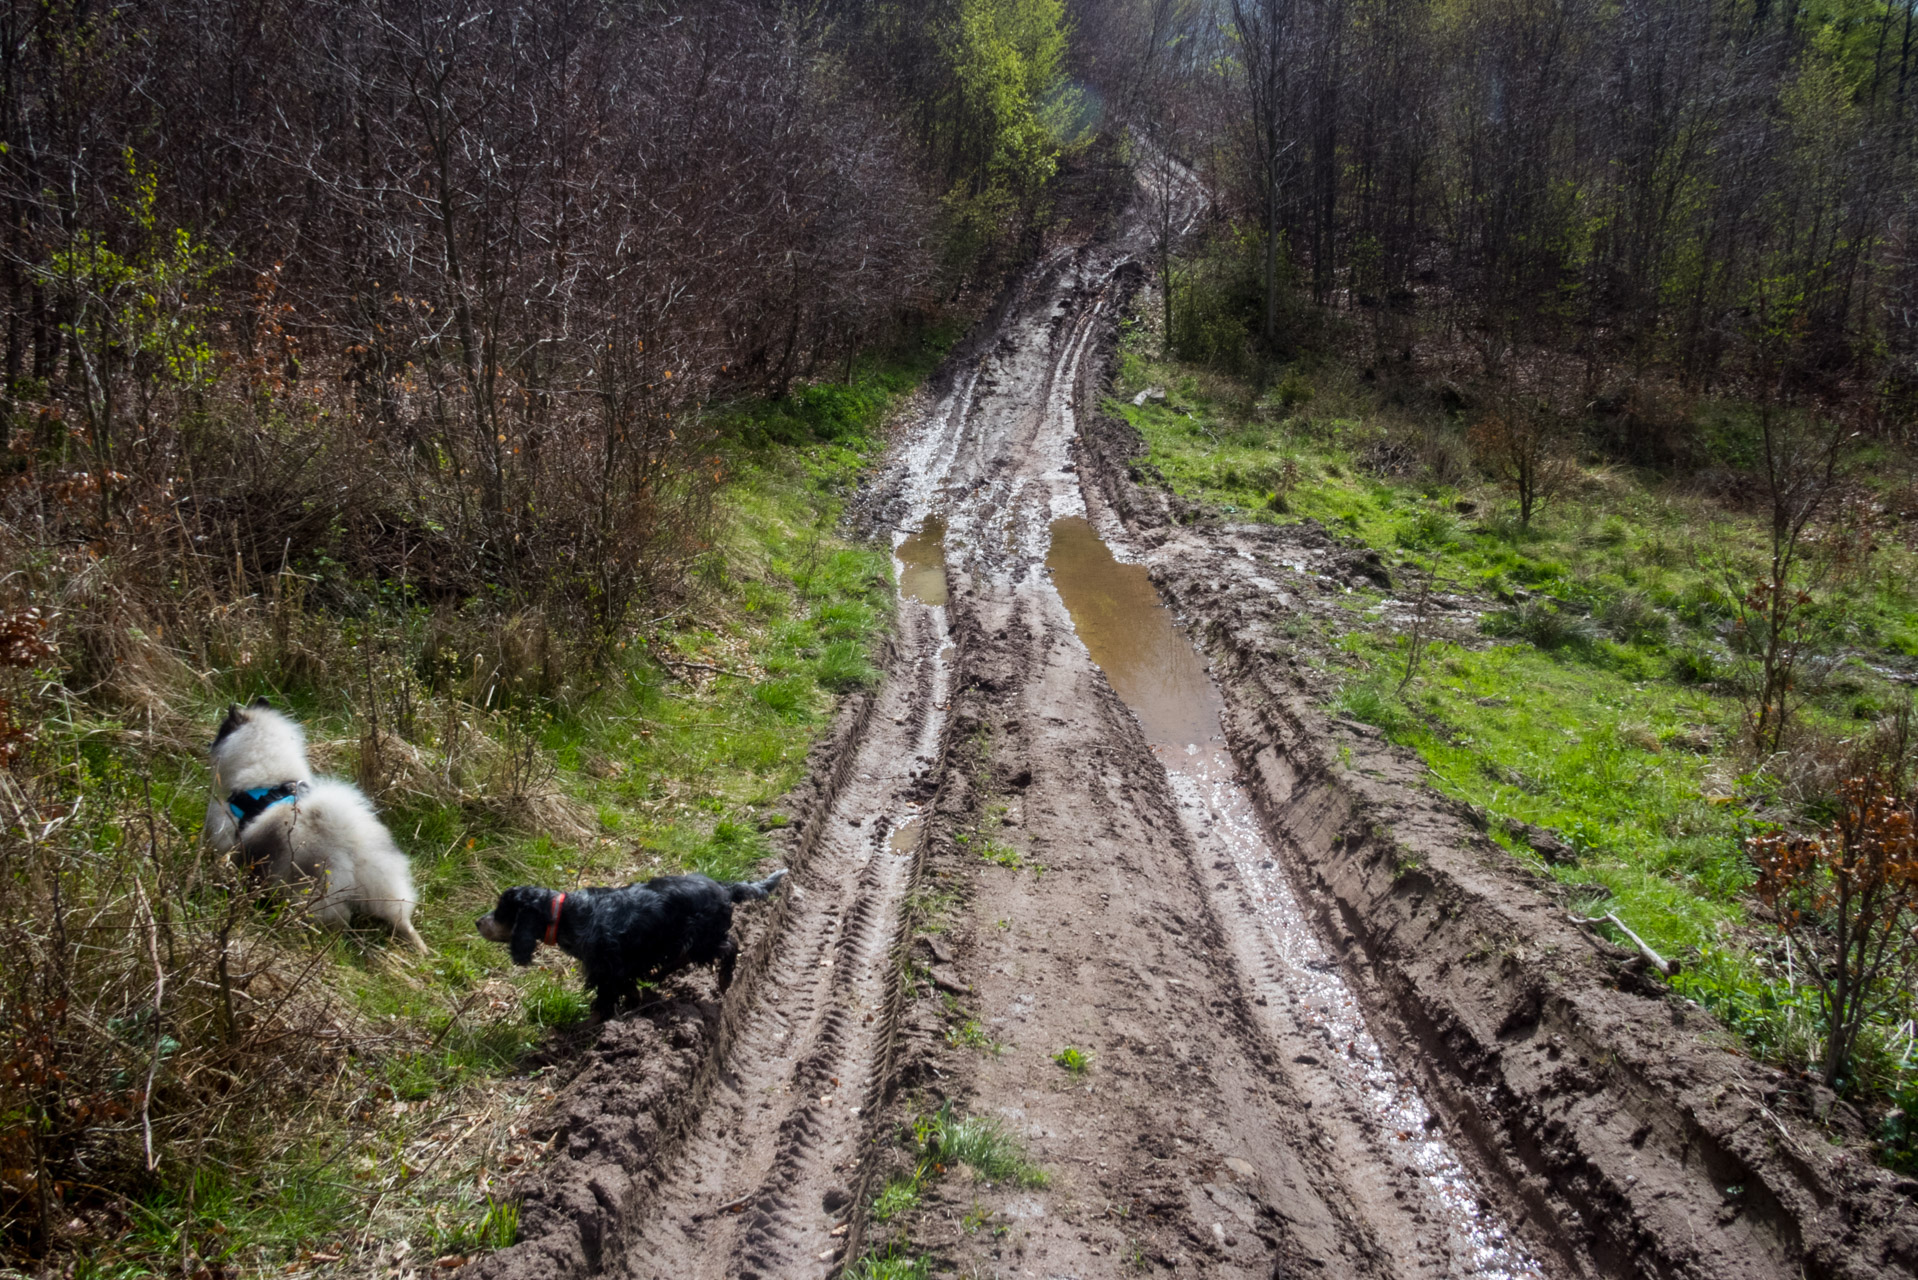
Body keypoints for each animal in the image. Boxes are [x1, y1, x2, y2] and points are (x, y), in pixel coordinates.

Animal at [204, 702, 425, 951]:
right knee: (400, 918)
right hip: (388, 889)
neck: (269, 781)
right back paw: (419, 947)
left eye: (222, 729)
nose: (208, 743)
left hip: (312, 896)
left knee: (338, 922)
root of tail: (349, 846)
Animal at [479, 871, 786, 1020]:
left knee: (730, 945)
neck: (567, 914)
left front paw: (593, 1025)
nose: (477, 922)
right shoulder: (616, 968)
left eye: (501, 912)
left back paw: (724, 981)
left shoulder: (605, 969)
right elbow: (628, 987)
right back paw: (659, 976)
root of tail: (725, 889)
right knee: (682, 957)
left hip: (703, 939)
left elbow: (603, 1002)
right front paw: (634, 1002)